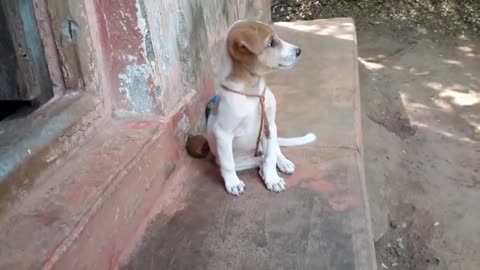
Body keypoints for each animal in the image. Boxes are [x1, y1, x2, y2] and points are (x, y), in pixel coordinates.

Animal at [186, 19, 316, 196]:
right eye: (271, 43)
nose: (298, 51)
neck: (251, 93)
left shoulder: (269, 127)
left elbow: (270, 157)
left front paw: (272, 179)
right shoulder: (223, 133)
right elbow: (229, 164)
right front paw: (233, 183)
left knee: (273, 151)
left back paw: (282, 162)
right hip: (235, 158)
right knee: (256, 160)